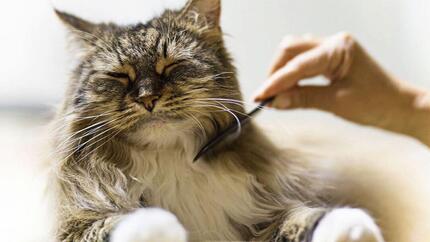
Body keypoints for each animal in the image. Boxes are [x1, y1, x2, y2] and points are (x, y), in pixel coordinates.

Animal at [52, 0, 384, 242]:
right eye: (119, 76)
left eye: (171, 66)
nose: (147, 98)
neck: (172, 161)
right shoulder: (77, 225)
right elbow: (126, 221)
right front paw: (162, 226)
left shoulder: (255, 217)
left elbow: (304, 217)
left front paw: (352, 225)